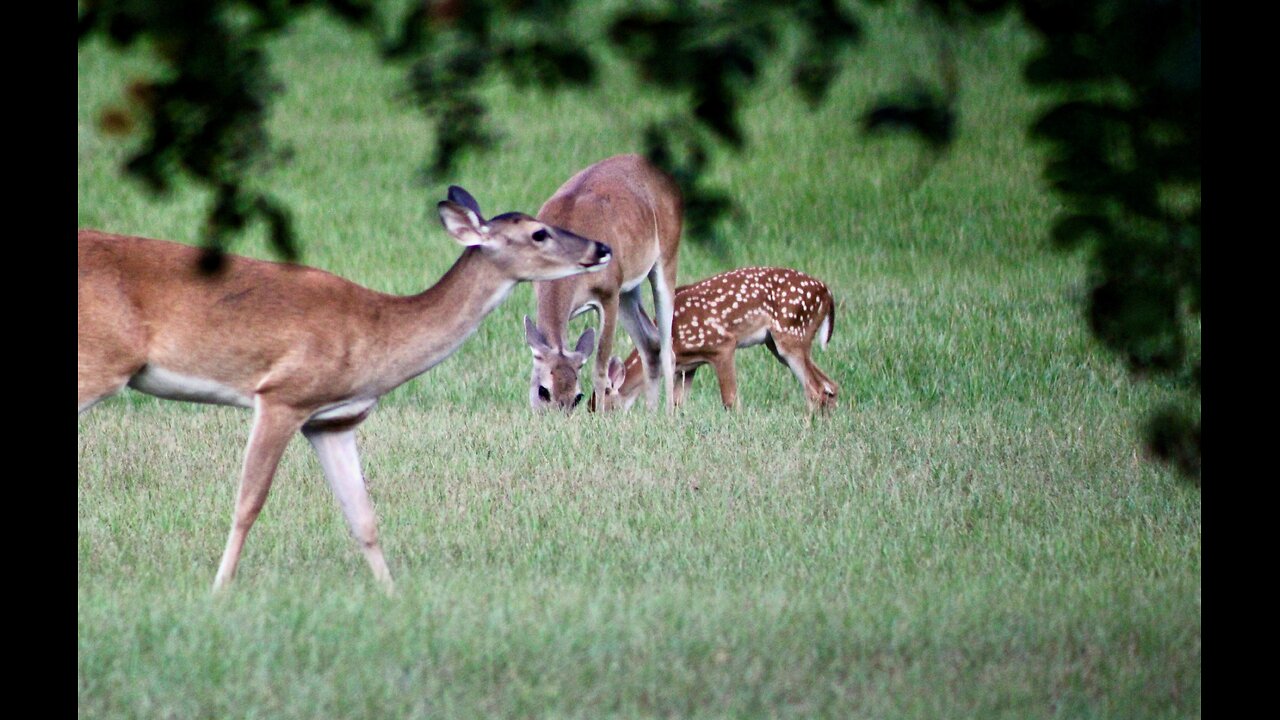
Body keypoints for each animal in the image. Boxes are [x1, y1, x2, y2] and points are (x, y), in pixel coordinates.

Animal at [77, 186, 612, 593]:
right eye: (539, 232)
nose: (600, 248)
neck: (375, 333)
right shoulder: (283, 394)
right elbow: (248, 503)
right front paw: (219, 589)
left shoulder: (334, 419)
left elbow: (364, 517)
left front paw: (391, 595)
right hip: (100, 361)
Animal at [523, 154, 682, 414]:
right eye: (542, 391)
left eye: (578, 397)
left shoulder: (608, 293)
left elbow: (599, 368)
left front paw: (598, 417)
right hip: (627, 289)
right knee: (651, 343)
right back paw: (651, 413)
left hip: (667, 256)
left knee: (668, 347)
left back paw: (669, 414)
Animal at [596, 267, 839, 413]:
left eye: (604, 401)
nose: (595, 416)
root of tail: (827, 293)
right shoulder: (687, 367)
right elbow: (678, 403)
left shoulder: (721, 345)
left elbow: (730, 399)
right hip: (779, 344)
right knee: (830, 386)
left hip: (791, 334)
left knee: (816, 389)